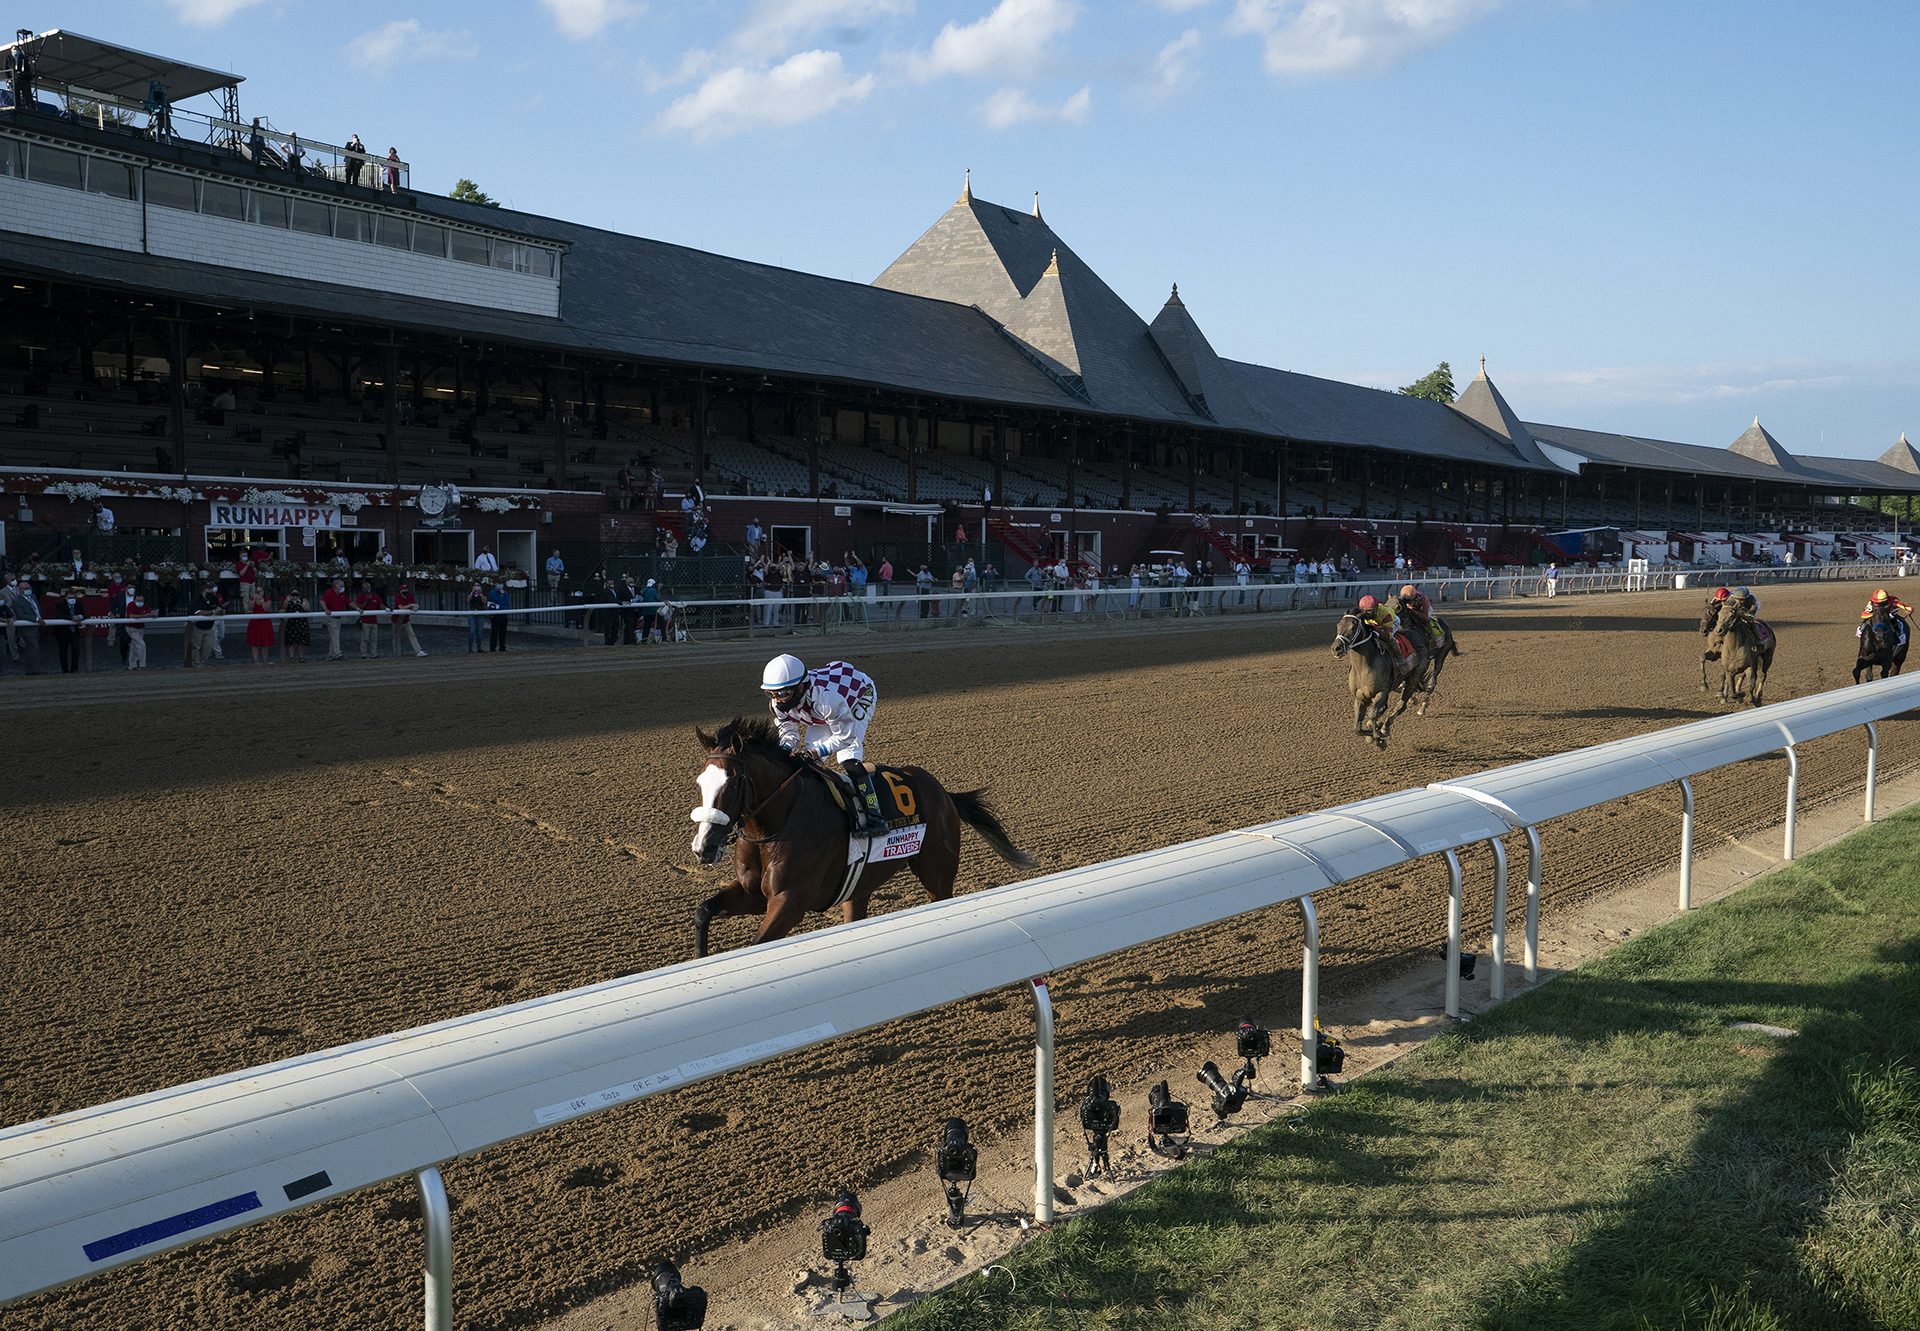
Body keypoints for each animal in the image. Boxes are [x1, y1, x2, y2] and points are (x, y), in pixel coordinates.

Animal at [691, 718, 1036, 956]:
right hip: (859, 886)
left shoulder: (790, 900)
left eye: (731, 784)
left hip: (937, 873)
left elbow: (757, 943)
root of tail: (942, 792)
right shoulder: (754, 894)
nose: (703, 847)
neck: (776, 824)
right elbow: (703, 910)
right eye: (699, 783)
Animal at [1336, 610, 1428, 749]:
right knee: (1386, 706)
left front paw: (1378, 737)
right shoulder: (1360, 697)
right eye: (1338, 625)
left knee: (1401, 705)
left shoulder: (1381, 693)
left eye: (1353, 627)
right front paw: (1372, 731)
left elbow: (1372, 713)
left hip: (1413, 679)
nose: (1336, 648)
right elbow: (1357, 728)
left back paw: (1385, 727)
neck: (1363, 667)